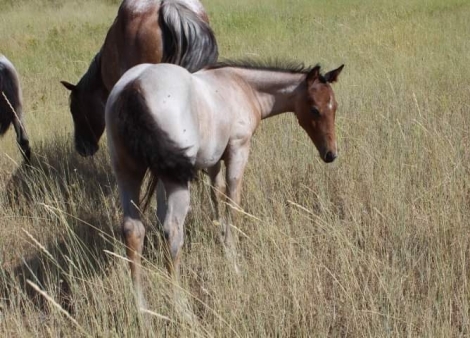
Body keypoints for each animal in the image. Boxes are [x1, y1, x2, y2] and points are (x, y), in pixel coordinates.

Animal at [104, 60, 344, 306]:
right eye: (315, 109)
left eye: (334, 107)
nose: (331, 154)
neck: (243, 86)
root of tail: (135, 86)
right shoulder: (238, 149)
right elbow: (233, 202)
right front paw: (233, 260)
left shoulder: (211, 160)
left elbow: (216, 195)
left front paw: (219, 237)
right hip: (176, 181)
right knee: (172, 230)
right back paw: (182, 306)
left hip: (128, 172)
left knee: (133, 230)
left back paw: (141, 307)